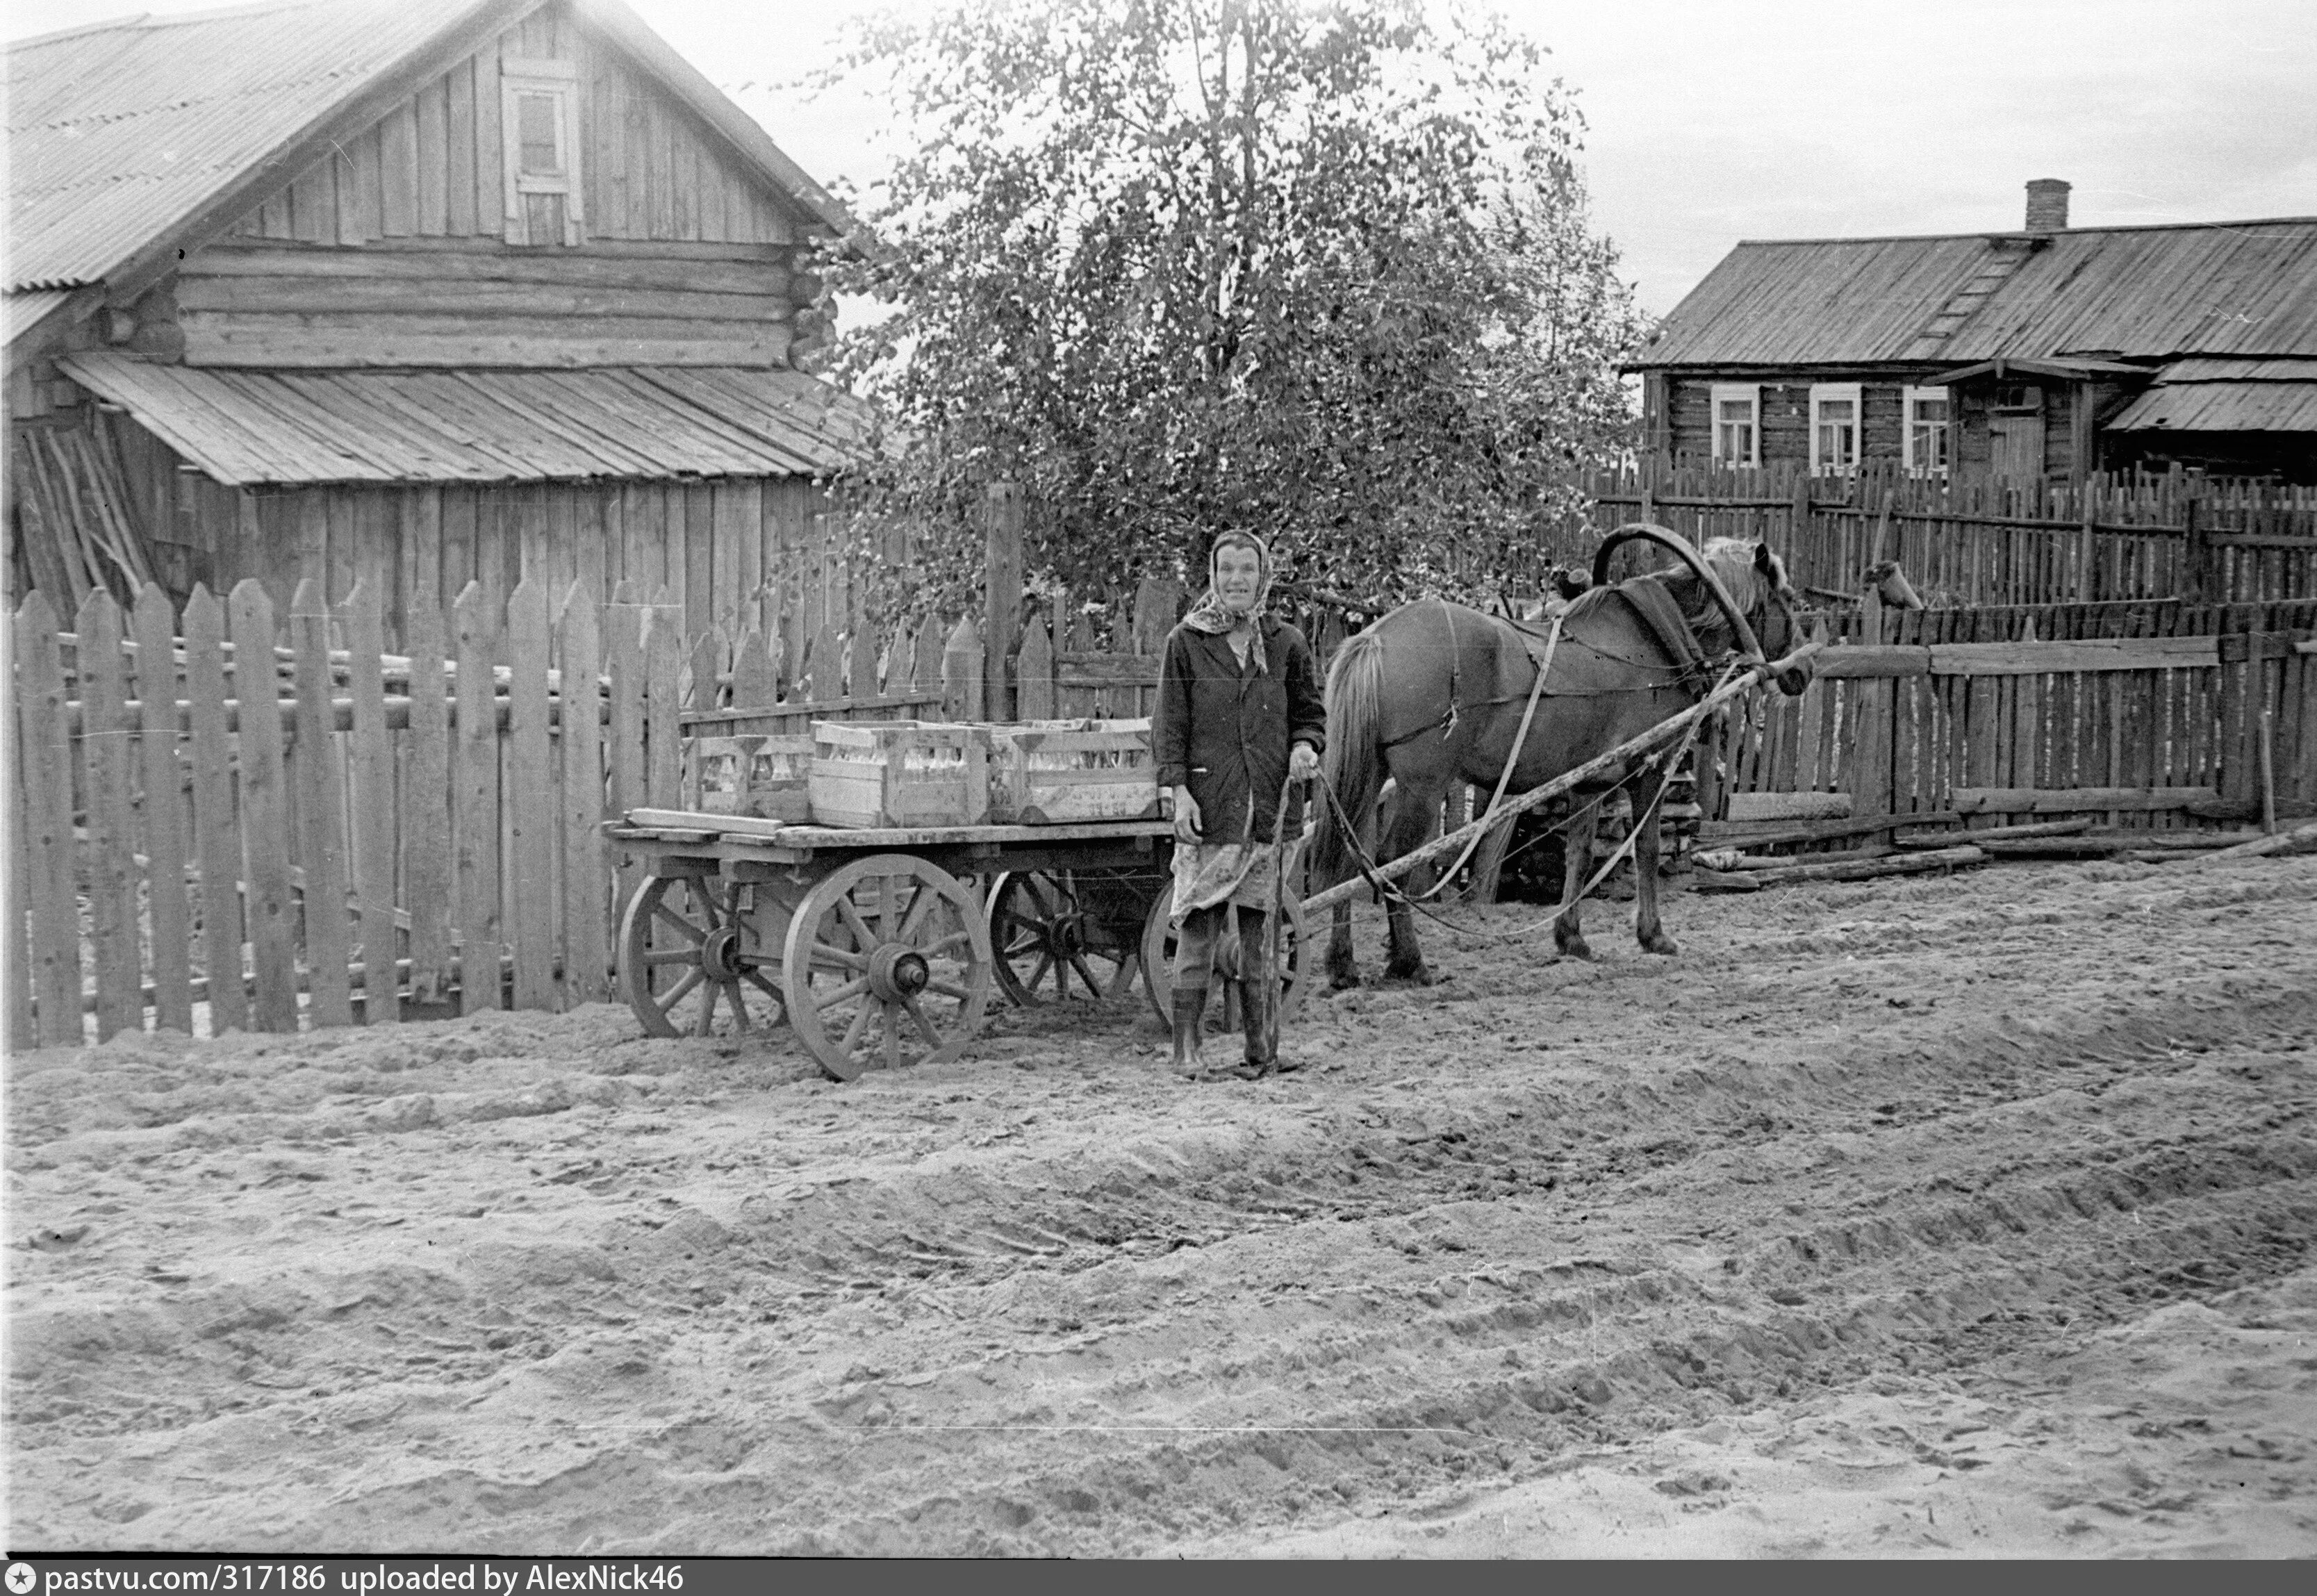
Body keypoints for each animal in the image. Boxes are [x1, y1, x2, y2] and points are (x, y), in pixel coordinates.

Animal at [1306, 532, 1807, 982]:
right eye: (1787, 598)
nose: (1804, 668)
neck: (1658, 639)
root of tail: (1375, 637)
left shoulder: (1588, 784)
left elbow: (1579, 855)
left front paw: (1571, 938)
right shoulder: (1650, 769)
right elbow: (1645, 849)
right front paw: (1653, 935)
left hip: (1371, 773)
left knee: (1352, 859)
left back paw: (1343, 965)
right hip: (1423, 788)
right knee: (1394, 860)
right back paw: (1410, 962)